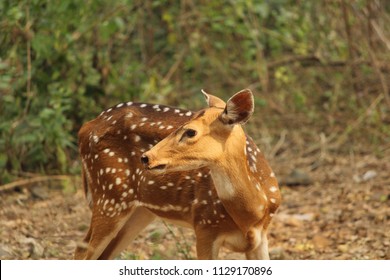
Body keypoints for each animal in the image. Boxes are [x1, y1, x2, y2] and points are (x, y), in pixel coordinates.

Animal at [74, 89, 280, 260]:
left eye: (190, 132)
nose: (146, 157)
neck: (251, 215)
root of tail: (85, 128)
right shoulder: (205, 226)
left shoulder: (261, 239)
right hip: (110, 194)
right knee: (82, 250)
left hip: (138, 210)